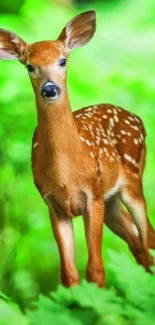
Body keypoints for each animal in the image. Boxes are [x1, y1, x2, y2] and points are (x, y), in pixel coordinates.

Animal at [0, 11, 155, 288]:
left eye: (63, 60)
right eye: (29, 66)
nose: (50, 88)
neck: (66, 175)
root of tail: (136, 117)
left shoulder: (92, 196)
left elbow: (95, 270)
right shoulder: (53, 204)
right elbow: (69, 275)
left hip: (133, 182)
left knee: (148, 239)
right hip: (111, 202)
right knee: (138, 244)